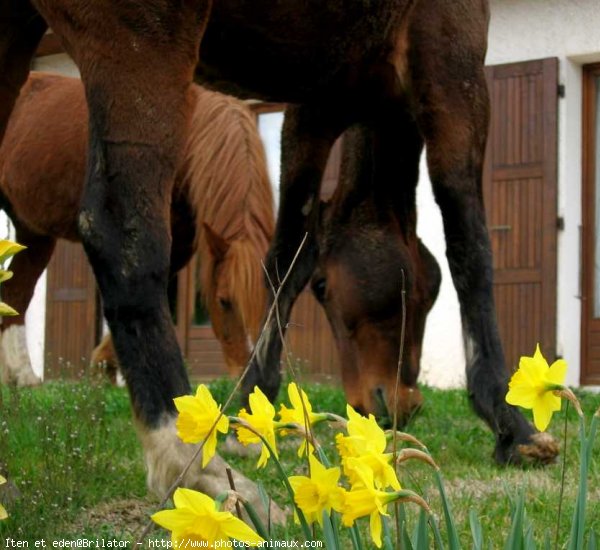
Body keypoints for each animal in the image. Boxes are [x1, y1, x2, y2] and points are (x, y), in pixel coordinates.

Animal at [0, 0, 556, 506]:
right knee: (121, 232)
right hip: (142, 41)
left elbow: (286, 258)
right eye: (325, 290)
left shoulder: (313, 106)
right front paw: (512, 424)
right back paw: (192, 465)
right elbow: (470, 244)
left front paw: (252, 407)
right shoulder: (451, 60)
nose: (395, 405)